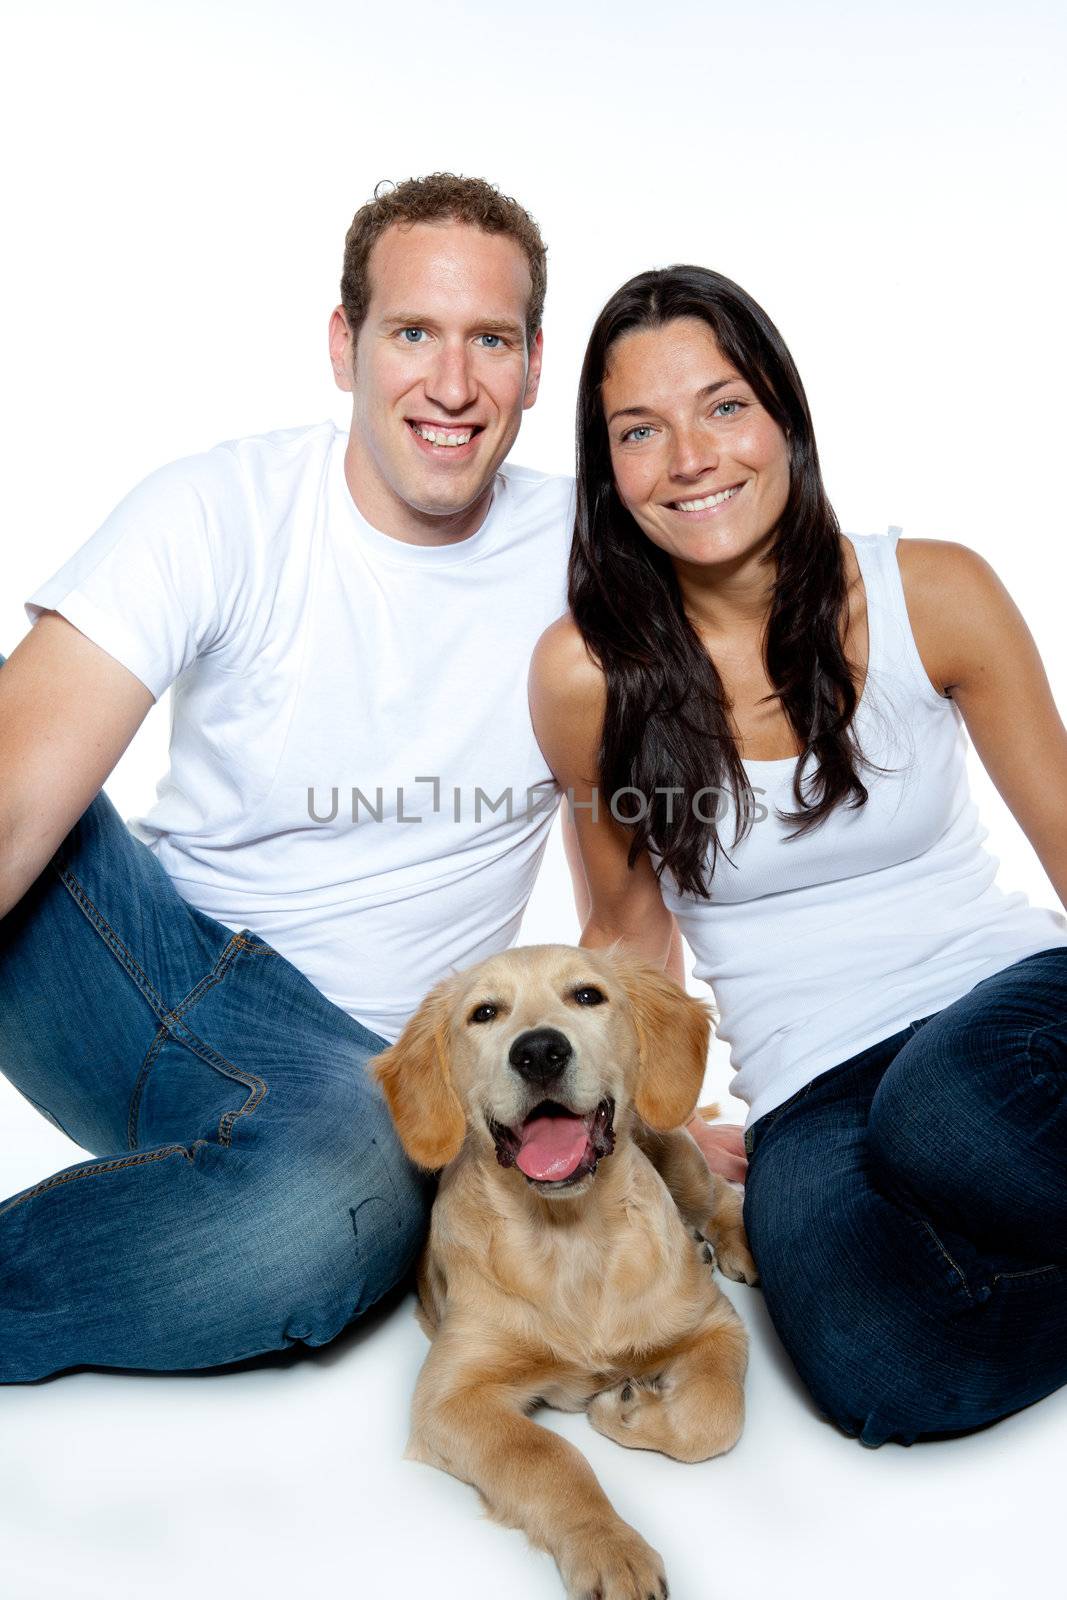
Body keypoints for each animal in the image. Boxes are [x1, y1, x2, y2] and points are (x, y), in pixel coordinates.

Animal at [375, 940, 758, 1593]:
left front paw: (628, 1411)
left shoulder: (713, 1321)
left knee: (717, 1198)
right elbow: (549, 1458)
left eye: (587, 995)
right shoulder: (449, 1398)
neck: (569, 1237)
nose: (539, 1052)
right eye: (484, 1013)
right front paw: (610, 1547)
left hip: (675, 1153)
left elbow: (714, 1414)